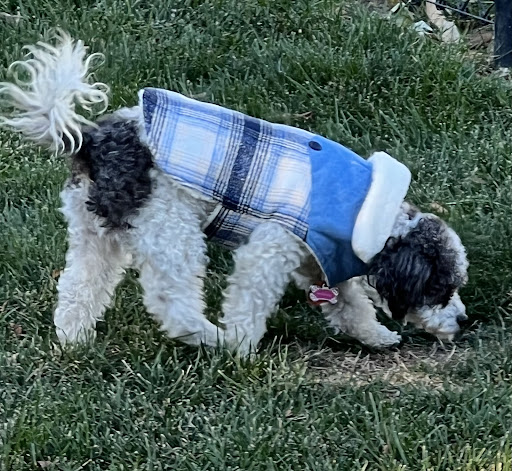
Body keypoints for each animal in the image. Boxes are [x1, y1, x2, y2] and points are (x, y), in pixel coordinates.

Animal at [0, 32, 470, 354]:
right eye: (441, 288)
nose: (463, 319)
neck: (368, 215)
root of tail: (94, 139)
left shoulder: (317, 260)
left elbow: (351, 305)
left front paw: (377, 337)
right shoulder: (271, 248)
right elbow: (251, 302)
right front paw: (243, 348)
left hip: (93, 233)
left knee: (78, 288)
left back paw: (74, 340)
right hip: (170, 230)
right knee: (173, 303)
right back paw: (211, 338)